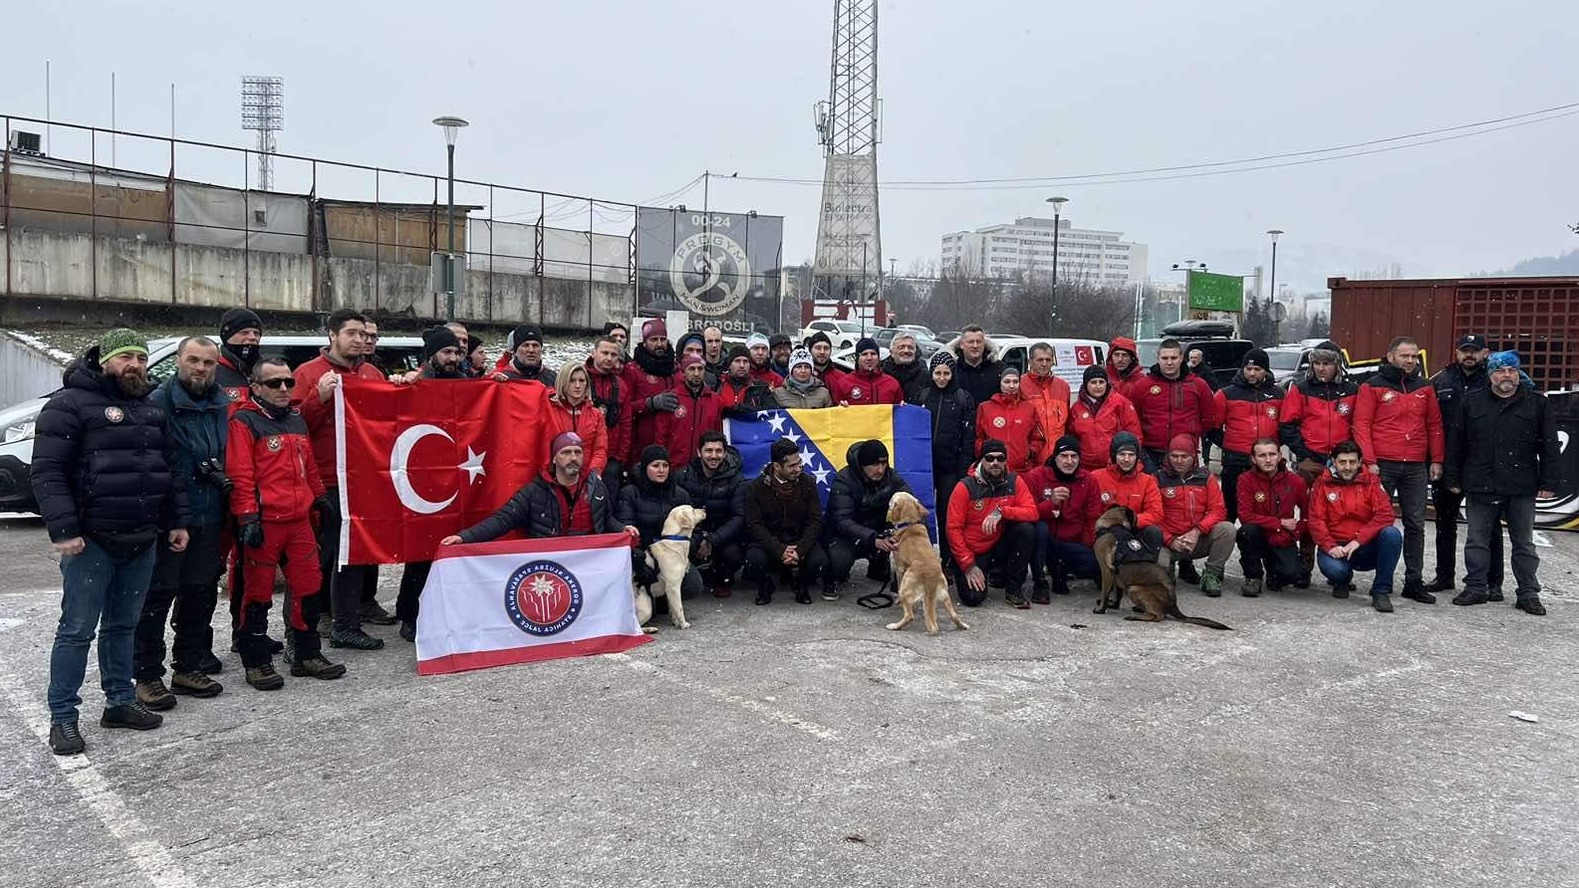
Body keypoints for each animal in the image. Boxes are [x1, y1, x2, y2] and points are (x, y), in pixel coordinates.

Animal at [1098, 505, 1231, 628]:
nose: (1137, 531)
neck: (1113, 524)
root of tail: (1173, 606)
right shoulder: (1116, 575)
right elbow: (1117, 594)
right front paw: (1113, 605)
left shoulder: (1106, 570)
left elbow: (1105, 592)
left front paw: (1101, 609)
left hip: (1134, 588)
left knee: (1160, 616)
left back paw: (1136, 616)